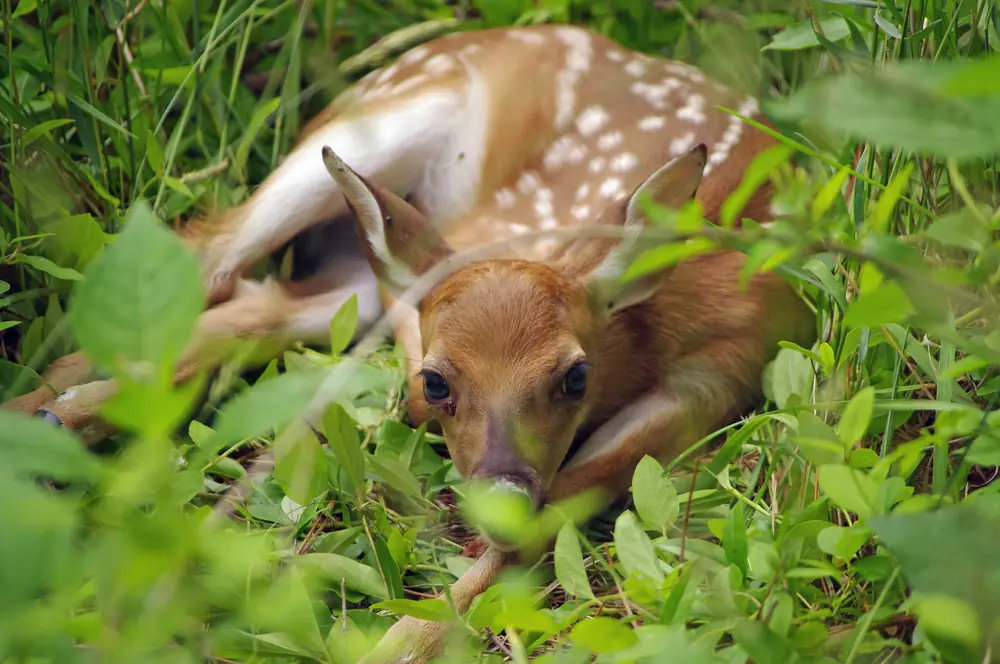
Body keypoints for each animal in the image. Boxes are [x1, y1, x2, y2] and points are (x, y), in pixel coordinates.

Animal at [4, 23, 816, 663]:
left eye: (575, 376)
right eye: (438, 379)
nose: (499, 493)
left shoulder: (712, 382)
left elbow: (538, 530)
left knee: (260, 302)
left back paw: (53, 419)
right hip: (381, 123)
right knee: (214, 254)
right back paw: (47, 417)